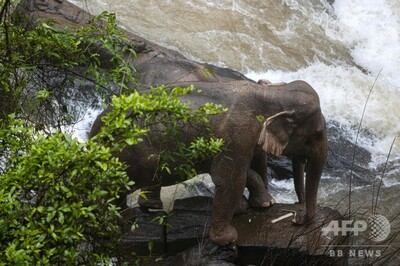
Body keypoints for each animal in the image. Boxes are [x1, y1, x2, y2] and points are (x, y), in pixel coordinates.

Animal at [89, 78, 326, 245]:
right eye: (317, 134)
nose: (296, 218)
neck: (272, 93)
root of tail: (94, 132)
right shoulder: (238, 134)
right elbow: (229, 179)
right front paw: (228, 238)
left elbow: (242, 172)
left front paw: (257, 205)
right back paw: (118, 223)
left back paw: (145, 209)